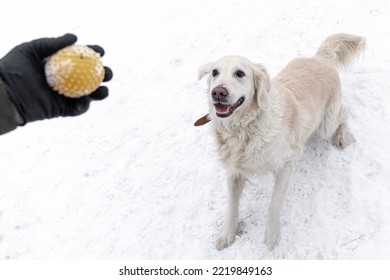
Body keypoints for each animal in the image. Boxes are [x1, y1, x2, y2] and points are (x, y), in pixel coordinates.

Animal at [198, 34, 366, 250]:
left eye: (240, 73)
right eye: (215, 72)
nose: (218, 92)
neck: (244, 130)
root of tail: (320, 57)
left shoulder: (286, 164)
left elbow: (274, 204)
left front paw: (272, 236)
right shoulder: (234, 171)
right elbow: (232, 206)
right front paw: (227, 233)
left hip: (326, 123)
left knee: (344, 112)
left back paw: (341, 136)